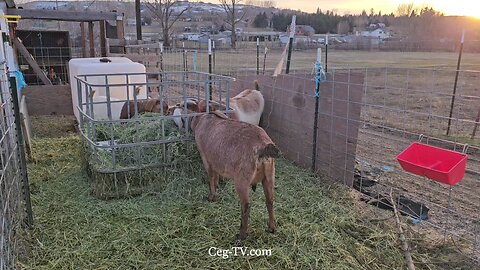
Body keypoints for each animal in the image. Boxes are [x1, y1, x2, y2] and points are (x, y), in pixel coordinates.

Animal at [190, 110, 278, 239]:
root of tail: (263, 146)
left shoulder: (206, 158)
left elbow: (211, 177)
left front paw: (211, 197)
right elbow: (216, 175)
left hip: (242, 180)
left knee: (246, 206)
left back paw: (241, 235)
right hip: (269, 176)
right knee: (270, 201)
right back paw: (272, 227)